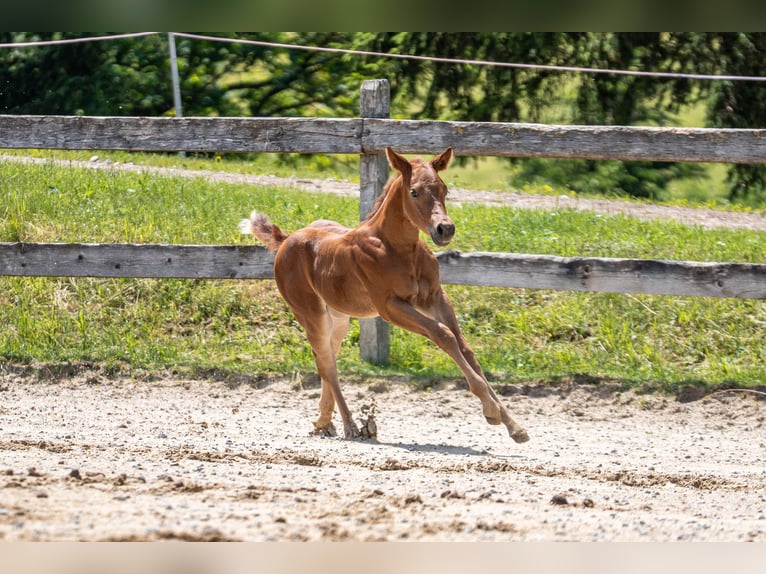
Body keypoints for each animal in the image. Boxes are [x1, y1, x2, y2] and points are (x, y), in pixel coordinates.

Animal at [239, 147, 529, 443]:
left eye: (444, 189)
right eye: (414, 191)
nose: (445, 229)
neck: (398, 249)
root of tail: (286, 240)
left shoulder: (435, 297)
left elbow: (466, 348)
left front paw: (513, 425)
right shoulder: (390, 307)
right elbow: (444, 335)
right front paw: (491, 410)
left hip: (339, 317)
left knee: (326, 357)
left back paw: (324, 422)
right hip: (311, 313)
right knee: (326, 363)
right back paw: (350, 425)